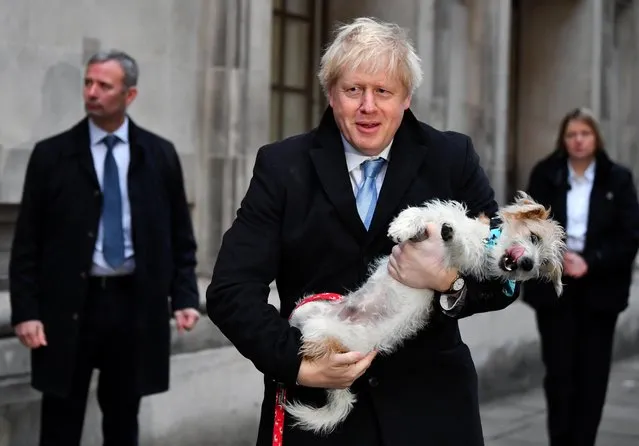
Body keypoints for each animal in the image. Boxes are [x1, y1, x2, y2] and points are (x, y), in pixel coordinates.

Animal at [282, 191, 564, 432]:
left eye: (542, 265)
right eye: (535, 237)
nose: (528, 264)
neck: (483, 240)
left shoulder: (465, 263)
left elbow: (459, 249)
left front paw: (453, 237)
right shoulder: (438, 215)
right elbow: (419, 213)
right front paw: (404, 226)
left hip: (322, 333)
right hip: (308, 307)